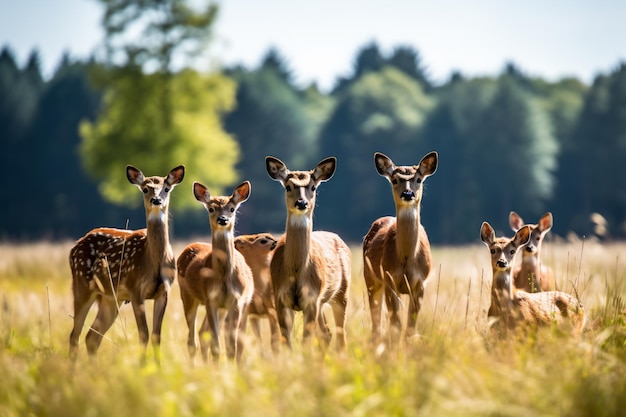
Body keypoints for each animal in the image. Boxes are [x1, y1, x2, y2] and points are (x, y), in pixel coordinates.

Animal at [70, 164, 185, 362]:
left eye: (166, 188)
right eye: (145, 188)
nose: (156, 200)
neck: (153, 262)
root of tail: (74, 247)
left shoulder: (164, 291)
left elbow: (156, 336)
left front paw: (158, 367)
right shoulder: (135, 289)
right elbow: (143, 334)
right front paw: (142, 366)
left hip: (109, 298)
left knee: (92, 337)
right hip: (81, 285)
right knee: (74, 335)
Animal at [176, 180, 254, 362]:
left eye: (232, 209)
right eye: (211, 209)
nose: (223, 219)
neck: (224, 278)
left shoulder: (235, 301)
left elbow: (231, 346)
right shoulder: (210, 299)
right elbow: (216, 346)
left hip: (221, 308)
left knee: (202, 333)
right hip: (187, 295)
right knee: (192, 339)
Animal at [264, 154, 352, 350]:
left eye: (313, 187)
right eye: (288, 186)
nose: (302, 202)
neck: (297, 271)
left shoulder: (312, 299)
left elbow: (306, 340)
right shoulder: (280, 298)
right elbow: (287, 340)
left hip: (341, 292)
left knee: (339, 334)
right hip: (323, 301)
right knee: (326, 333)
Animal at [360, 151, 438, 342]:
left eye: (418, 179)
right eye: (395, 180)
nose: (408, 193)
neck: (407, 258)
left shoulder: (420, 283)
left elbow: (410, 327)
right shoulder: (390, 280)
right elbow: (396, 325)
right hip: (371, 278)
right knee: (376, 323)